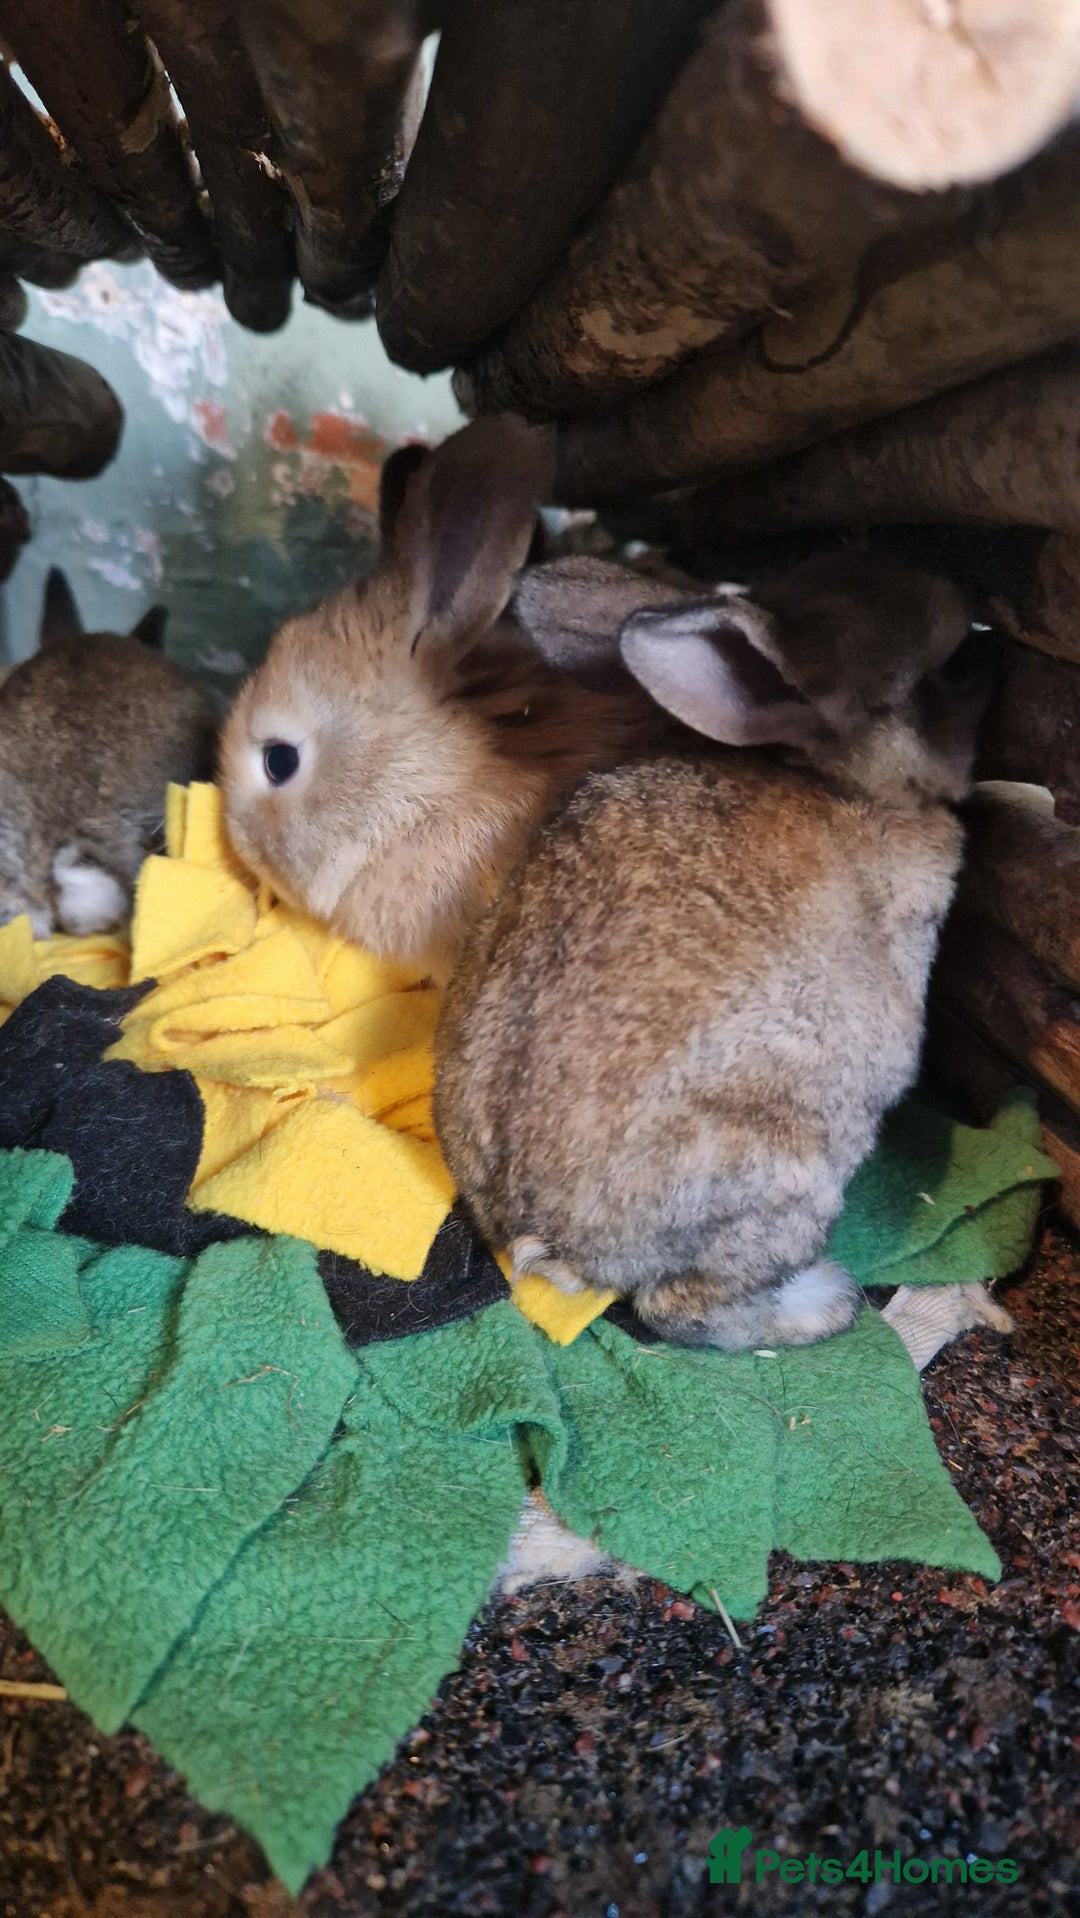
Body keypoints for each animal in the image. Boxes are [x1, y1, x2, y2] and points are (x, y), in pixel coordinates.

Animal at [434, 549, 994, 1351]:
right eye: (957, 663)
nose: (988, 623)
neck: (843, 782)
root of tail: (546, 1242)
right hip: (788, 1175)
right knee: (679, 1309)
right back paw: (826, 1305)